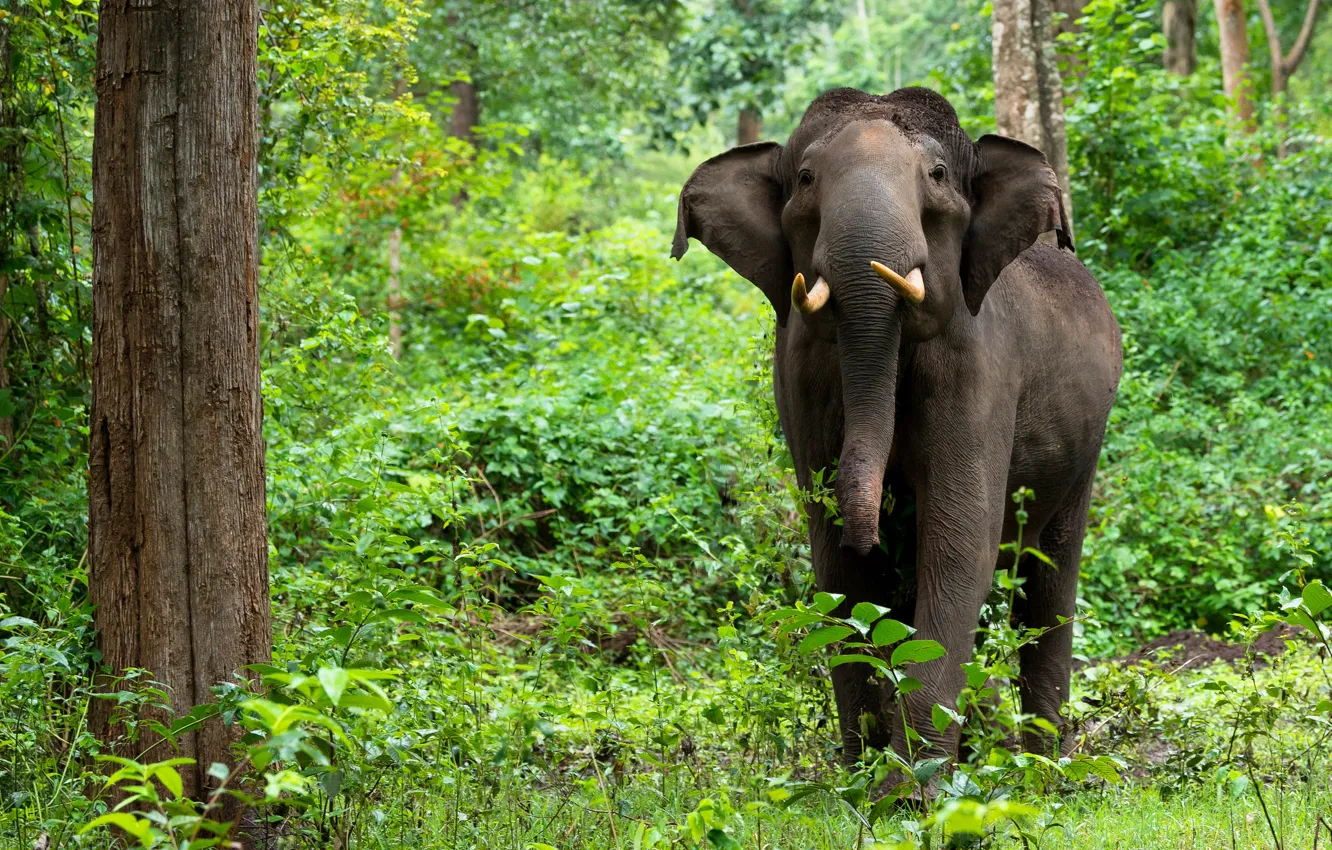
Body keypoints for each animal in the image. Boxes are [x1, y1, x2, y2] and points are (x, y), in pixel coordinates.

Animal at [671, 87, 1122, 762]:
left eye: (936, 175)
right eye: (806, 179)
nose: (878, 525)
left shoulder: (980, 366)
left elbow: (960, 541)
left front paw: (909, 780)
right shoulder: (800, 374)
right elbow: (835, 564)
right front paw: (863, 767)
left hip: (1086, 447)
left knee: (1050, 579)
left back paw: (1043, 762)